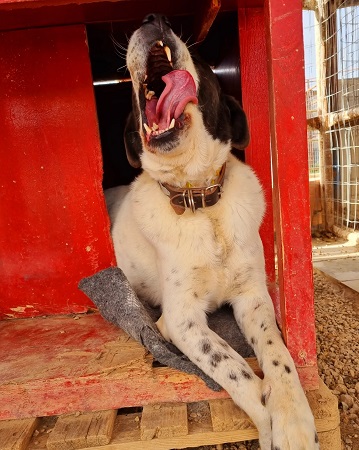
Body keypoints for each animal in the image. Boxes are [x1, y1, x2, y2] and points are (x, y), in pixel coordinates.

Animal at [105, 13, 320, 450]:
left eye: (202, 63)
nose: (152, 19)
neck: (200, 200)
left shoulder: (253, 297)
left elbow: (278, 354)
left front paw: (294, 419)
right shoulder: (181, 320)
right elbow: (235, 367)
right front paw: (270, 425)